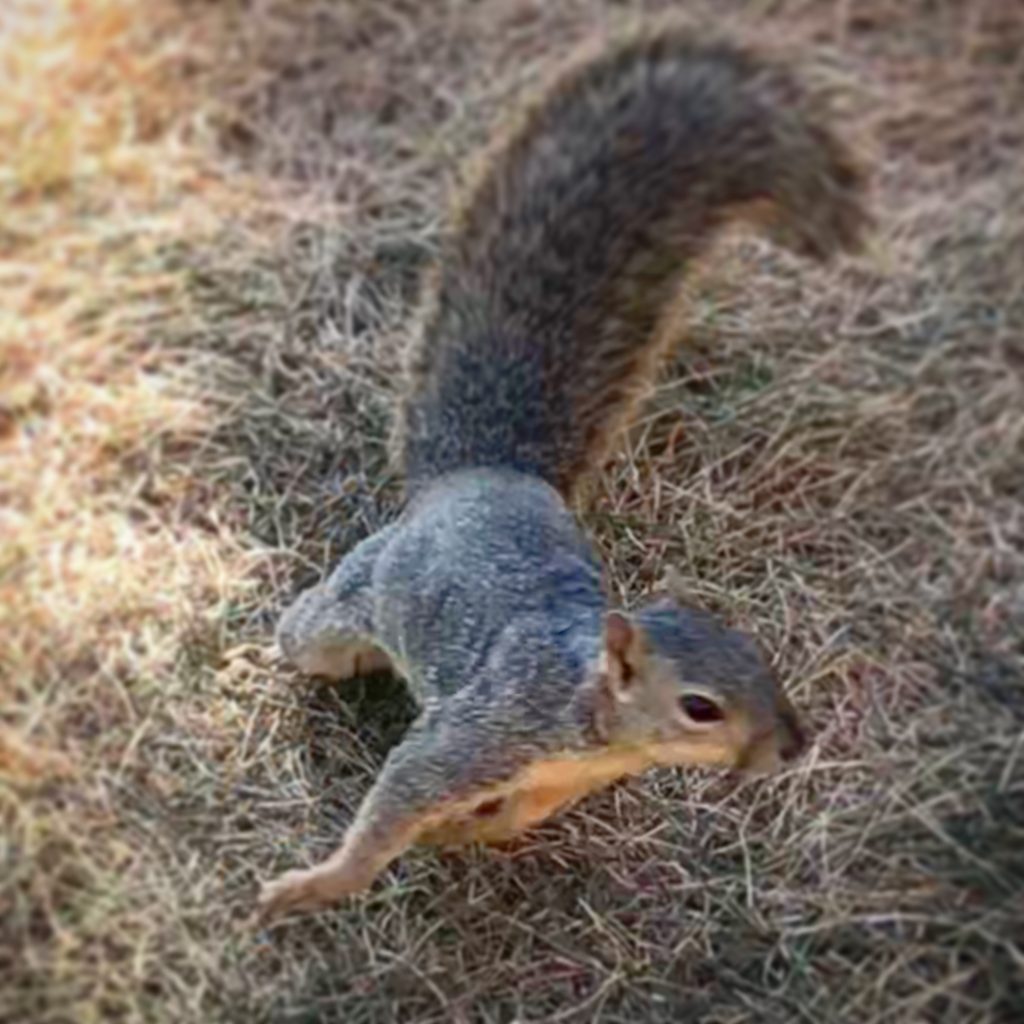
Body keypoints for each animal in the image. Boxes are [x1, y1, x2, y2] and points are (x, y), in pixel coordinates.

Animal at [257, 23, 868, 922]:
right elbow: (401, 793)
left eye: (765, 662)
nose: (791, 748)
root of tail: (480, 475)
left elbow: (508, 818)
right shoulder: (487, 729)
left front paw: (462, 835)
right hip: (356, 597)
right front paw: (317, 885)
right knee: (309, 633)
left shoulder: (555, 783)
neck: (590, 724)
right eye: (700, 707)